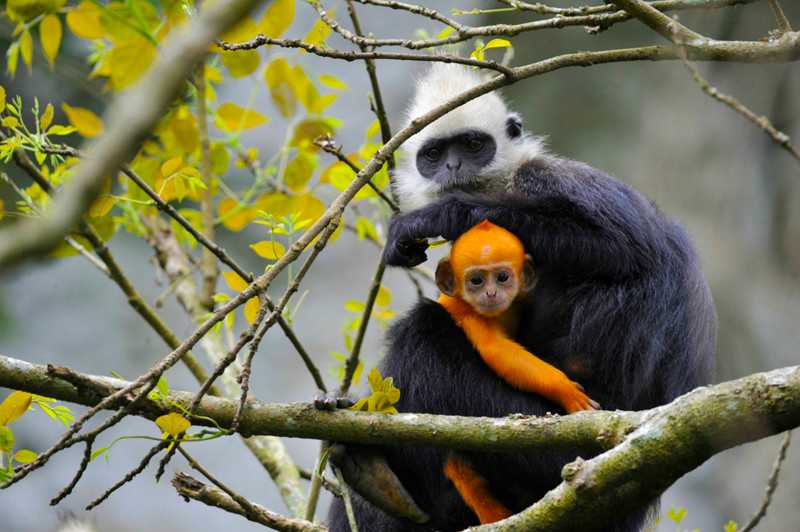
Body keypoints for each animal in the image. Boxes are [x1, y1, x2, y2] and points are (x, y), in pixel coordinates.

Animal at [434, 219, 596, 524]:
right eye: (476, 281)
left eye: (502, 278)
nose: (490, 293)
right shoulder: (469, 313)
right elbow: (496, 349)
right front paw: (566, 391)